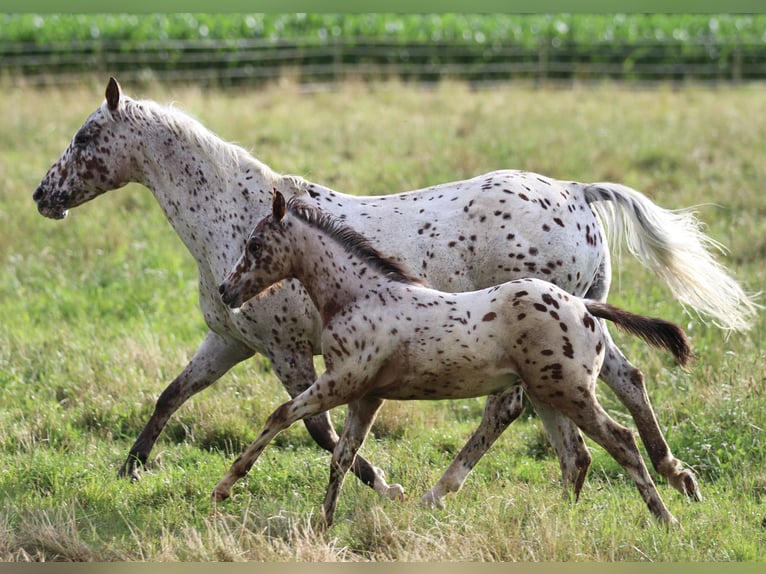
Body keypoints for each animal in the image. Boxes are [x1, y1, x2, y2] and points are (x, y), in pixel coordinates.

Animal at [214, 191, 696, 528]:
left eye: (255, 245)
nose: (225, 290)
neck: (359, 295)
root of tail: (584, 307)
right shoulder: (367, 397)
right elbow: (342, 456)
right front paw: (324, 522)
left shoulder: (342, 381)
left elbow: (281, 415)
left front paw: (224, 487)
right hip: (548, 394)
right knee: (576, 456)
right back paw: (564, 519)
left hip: (570, 393)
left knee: (620, 441)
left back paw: (667, 518)